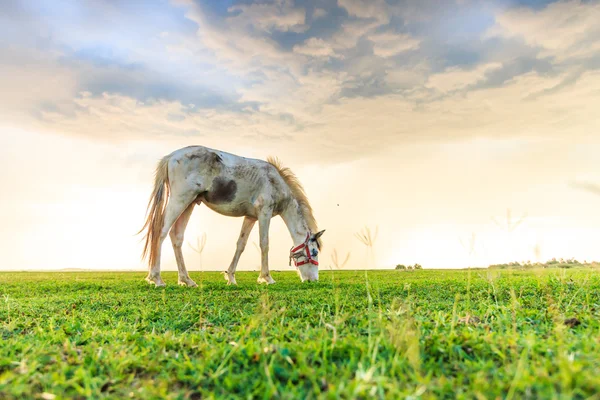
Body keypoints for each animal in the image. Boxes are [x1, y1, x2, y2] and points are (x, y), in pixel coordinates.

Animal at [138, 145, 326, 286]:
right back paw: (156, 278)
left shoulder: (251, 217)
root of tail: (170, 157)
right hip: (180, 200)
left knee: (176, 236)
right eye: (314, 252)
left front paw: (230, 277)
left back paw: (186, 280)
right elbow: (264, 244)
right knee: (161, 231)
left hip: (188, 204)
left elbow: (240, 245)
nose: (313, 280)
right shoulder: (264, 213)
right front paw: (267, 278)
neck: (275, 182)